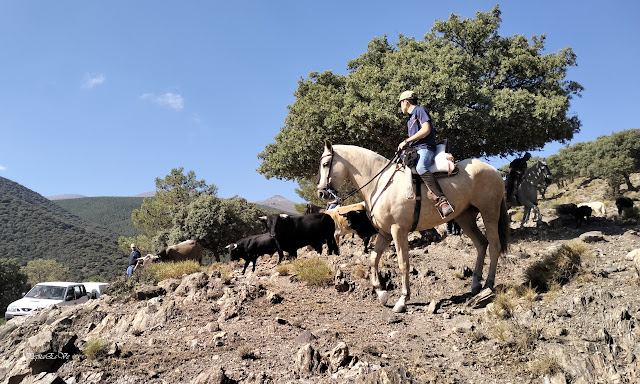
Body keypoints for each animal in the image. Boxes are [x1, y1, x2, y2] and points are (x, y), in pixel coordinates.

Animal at [316, 142, 510, 314]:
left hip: (489, 214)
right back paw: (476, 285)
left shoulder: (398, 230)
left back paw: (487, 285)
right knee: (481, 244)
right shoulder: (385, 233)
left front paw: (402, 300)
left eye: (325, 164)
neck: (381, 183)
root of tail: (493, 171)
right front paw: (381, 292)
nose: (321, 192)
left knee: (494, 246)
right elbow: (373, 259)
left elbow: (403, 263)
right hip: (465, 218)